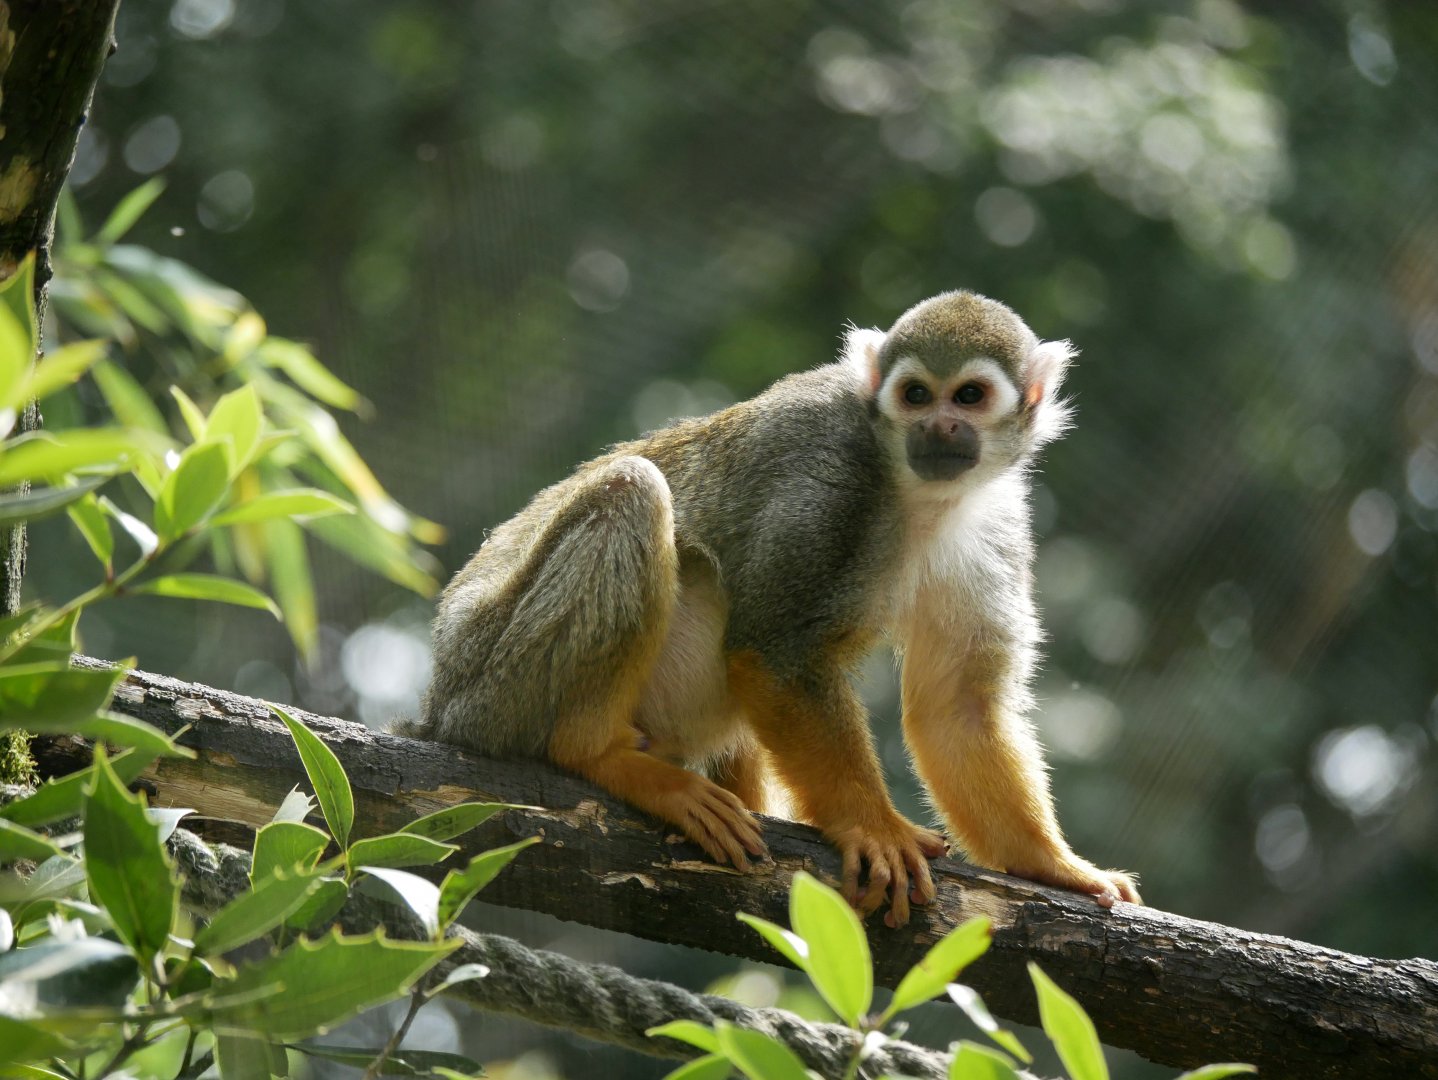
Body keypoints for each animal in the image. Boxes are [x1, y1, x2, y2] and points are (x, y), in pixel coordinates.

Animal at [412, 290, 1140, 926]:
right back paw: (597, 754)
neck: (914, 491)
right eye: (914, 394)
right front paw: (872, 826)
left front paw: (1052, 866)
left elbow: (955, 709)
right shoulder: (824, 478)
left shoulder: (995, 524)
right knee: (633, 491)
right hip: (497, 681)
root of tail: (438, 698)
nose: (940, 426)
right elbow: (773, 652)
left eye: (969, 395)